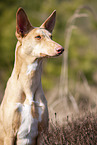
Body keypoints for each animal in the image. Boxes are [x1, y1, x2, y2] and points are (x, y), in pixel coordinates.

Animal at [0, 8, 64, 145]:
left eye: (51, 36)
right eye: (38, 37)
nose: (61, 49)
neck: (28, 83)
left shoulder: (42, 134)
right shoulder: (9, 135)